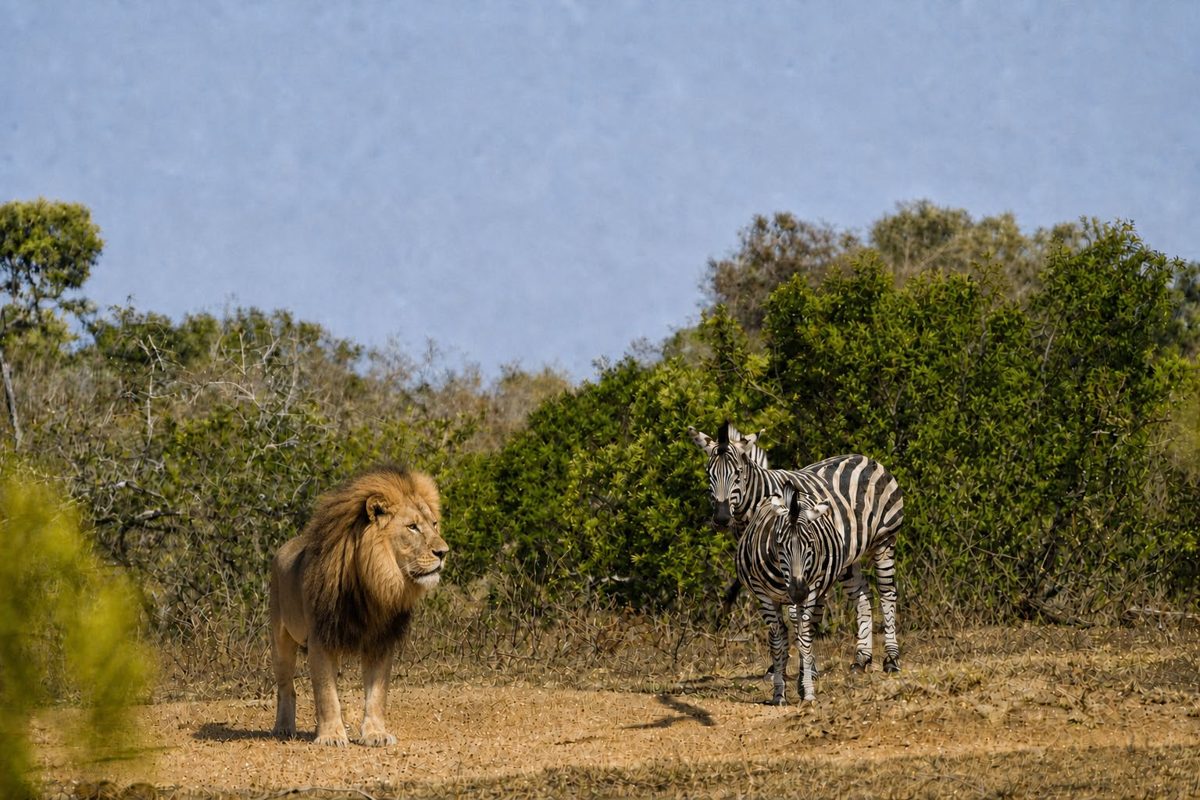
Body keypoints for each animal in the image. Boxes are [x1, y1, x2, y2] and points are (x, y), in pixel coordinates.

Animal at [269, 464, 448, 746]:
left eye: (434, 524)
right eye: (412, 527)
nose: (443, 552)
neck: (373, 582)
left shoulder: (381, 640)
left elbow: (377, 693)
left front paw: (375, 734)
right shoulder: (321, 638)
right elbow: (326, 693)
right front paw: (331, 736)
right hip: (281, 637)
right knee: (286, 685)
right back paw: (284, 728)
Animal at [738, 459, 904, 703]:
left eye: (810, 544)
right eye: (779, 544)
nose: (798, 592)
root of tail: (870, 461)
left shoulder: (812, 588)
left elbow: (804, 637)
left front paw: (806, 688)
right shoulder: (763, 593)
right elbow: (778, 639)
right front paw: (779, 690)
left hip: (885, 541)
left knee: (887, 594)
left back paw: (891, 659)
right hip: (848, 562)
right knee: (863, 596)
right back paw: (861, 659)